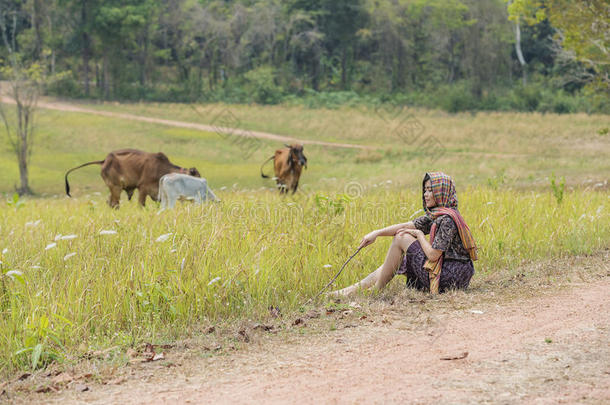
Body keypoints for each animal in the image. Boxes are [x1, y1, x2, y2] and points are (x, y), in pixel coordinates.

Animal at [65, 148, 201, 207]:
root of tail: (104, 160)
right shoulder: (143, 189)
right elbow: (141, 204)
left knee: (110, 202)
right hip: (116, 187)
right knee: (114, 203)